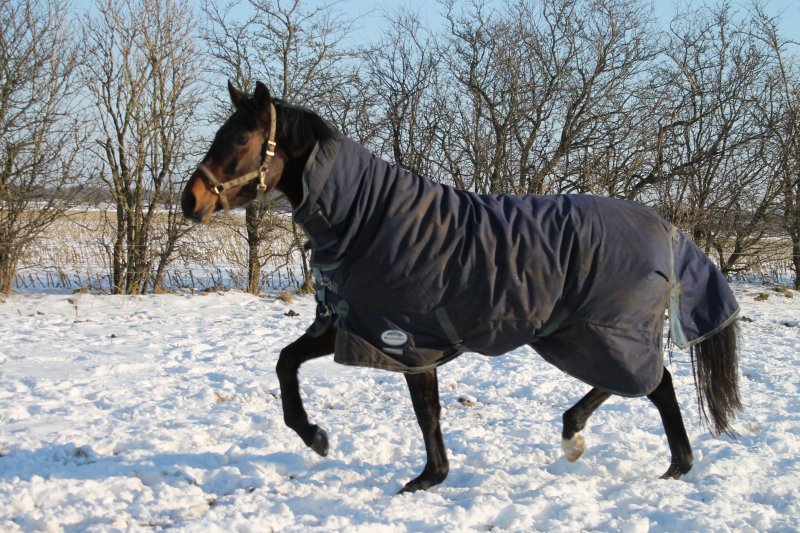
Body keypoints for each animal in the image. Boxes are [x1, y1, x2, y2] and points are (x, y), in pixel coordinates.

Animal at [181, 81, 742, 493]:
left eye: (239, 141)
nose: (191, 200)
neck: (369, 216)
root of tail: (664, 227)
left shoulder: (406, 339)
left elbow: (426, 412)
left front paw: (427, 479)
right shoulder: (353, 326)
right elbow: (285, 364)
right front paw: (316, 437)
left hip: (602, 332)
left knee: (656, 384)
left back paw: (662, 462)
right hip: (576, 332)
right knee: (638, 383)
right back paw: (579, 435)